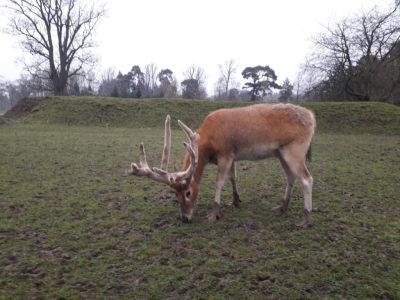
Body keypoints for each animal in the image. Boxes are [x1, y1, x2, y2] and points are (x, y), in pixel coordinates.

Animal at [127, 103, 316, 227]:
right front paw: (235, 201)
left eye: (188, 192)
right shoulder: (232, 156)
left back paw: (306, 219)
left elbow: (219, 182)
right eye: (175, 194)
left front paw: (214, 213)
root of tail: (312, 117)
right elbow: (233, 177)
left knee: (307, 178)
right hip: (281, 152)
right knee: (291, 177)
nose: (185, 218)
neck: (207, 145)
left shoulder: (225, 153)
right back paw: (282, 207)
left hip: (295, 149)